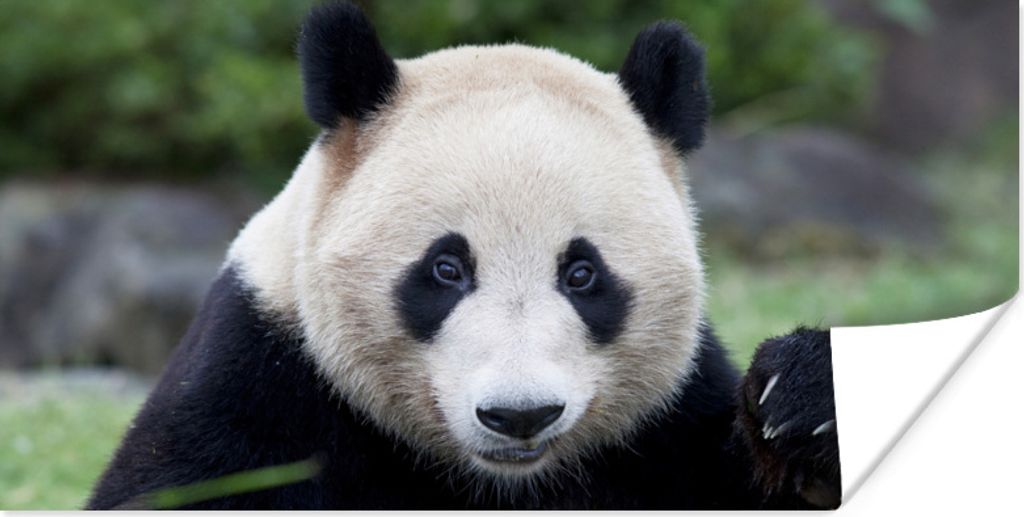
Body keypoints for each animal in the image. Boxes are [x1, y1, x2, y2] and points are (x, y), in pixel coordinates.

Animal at [87, 1, 840, 510]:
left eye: (582, 273)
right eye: (446, 269)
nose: (520, 415)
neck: (499, 481)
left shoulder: (666, 423)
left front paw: (802, 394)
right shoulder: (261, 372)